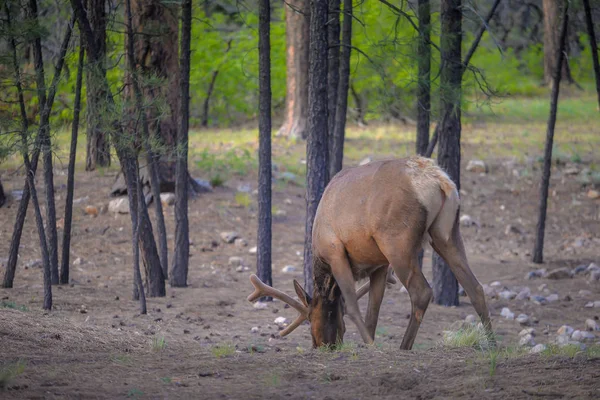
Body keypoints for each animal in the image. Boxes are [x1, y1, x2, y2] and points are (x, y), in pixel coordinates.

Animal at [247, 155, 492, 348]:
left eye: (311, 318)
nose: (321, 346)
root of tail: (441, 181)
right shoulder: (379, 265)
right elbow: (372, 311)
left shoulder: (335, 252)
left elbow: (352, 306)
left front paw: (371, 344)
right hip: (446, 234)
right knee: (476, 287)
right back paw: (493, 344)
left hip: (397, 243)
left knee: (422, 292)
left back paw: (404, 347)